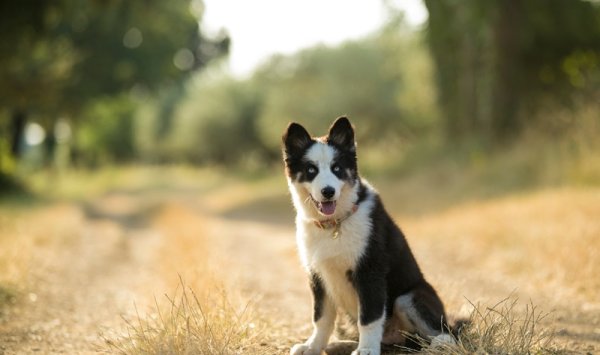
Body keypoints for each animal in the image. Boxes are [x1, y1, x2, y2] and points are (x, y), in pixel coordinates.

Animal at [284, 117, 448, 355]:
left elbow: (369, 318)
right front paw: (312, 346)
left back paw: (442, 343)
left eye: (337, 168)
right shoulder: (318, 275)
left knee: (447, 331)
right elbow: (321, 317)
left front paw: (367, 349)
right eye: (311, 170)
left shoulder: (369, 271)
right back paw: (341, 344)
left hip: (409, 297)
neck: (335, 225)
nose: (328, 192)